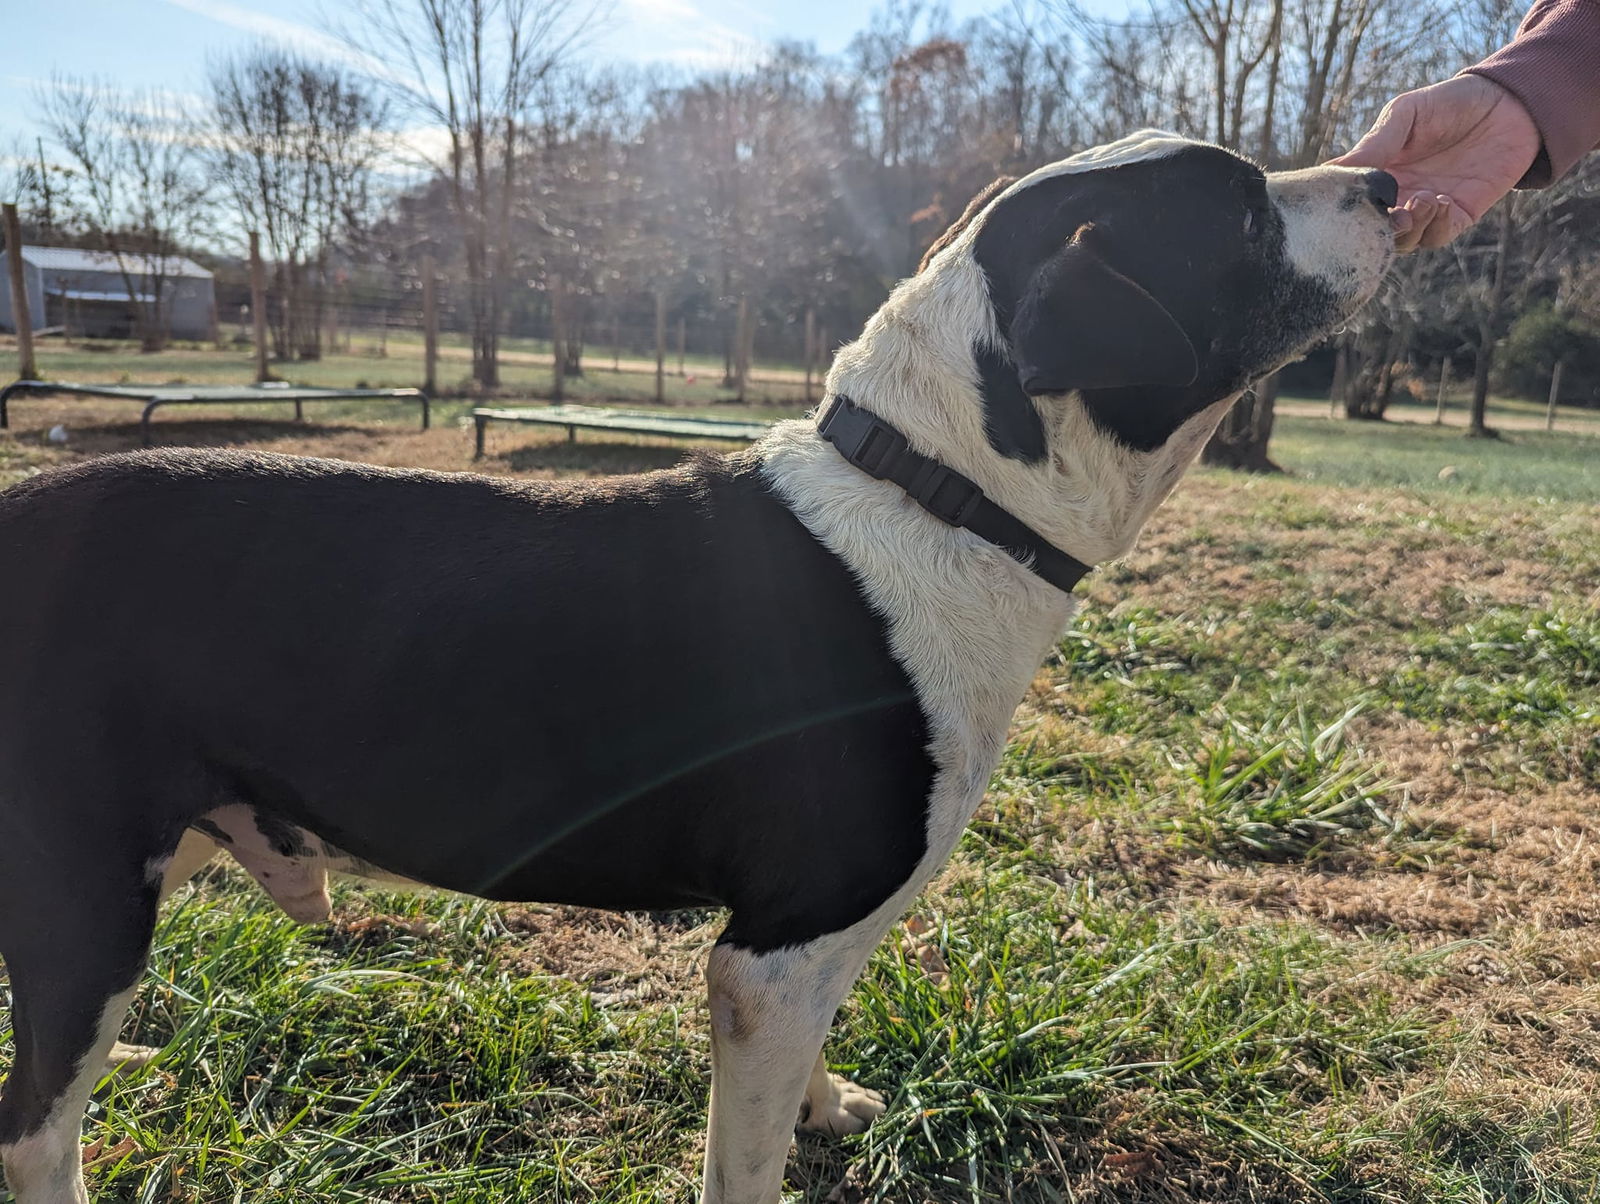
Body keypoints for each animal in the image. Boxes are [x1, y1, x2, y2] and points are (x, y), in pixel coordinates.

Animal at [0, 131, 1395, 1204]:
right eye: (1239, 206)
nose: (1386, 181)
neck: (934, 492)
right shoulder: (770, 957)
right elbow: (745, 1160)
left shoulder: (807, 951)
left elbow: (808, 1064)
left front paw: (828, 1105)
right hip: (88, 904)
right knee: (33, 1136)